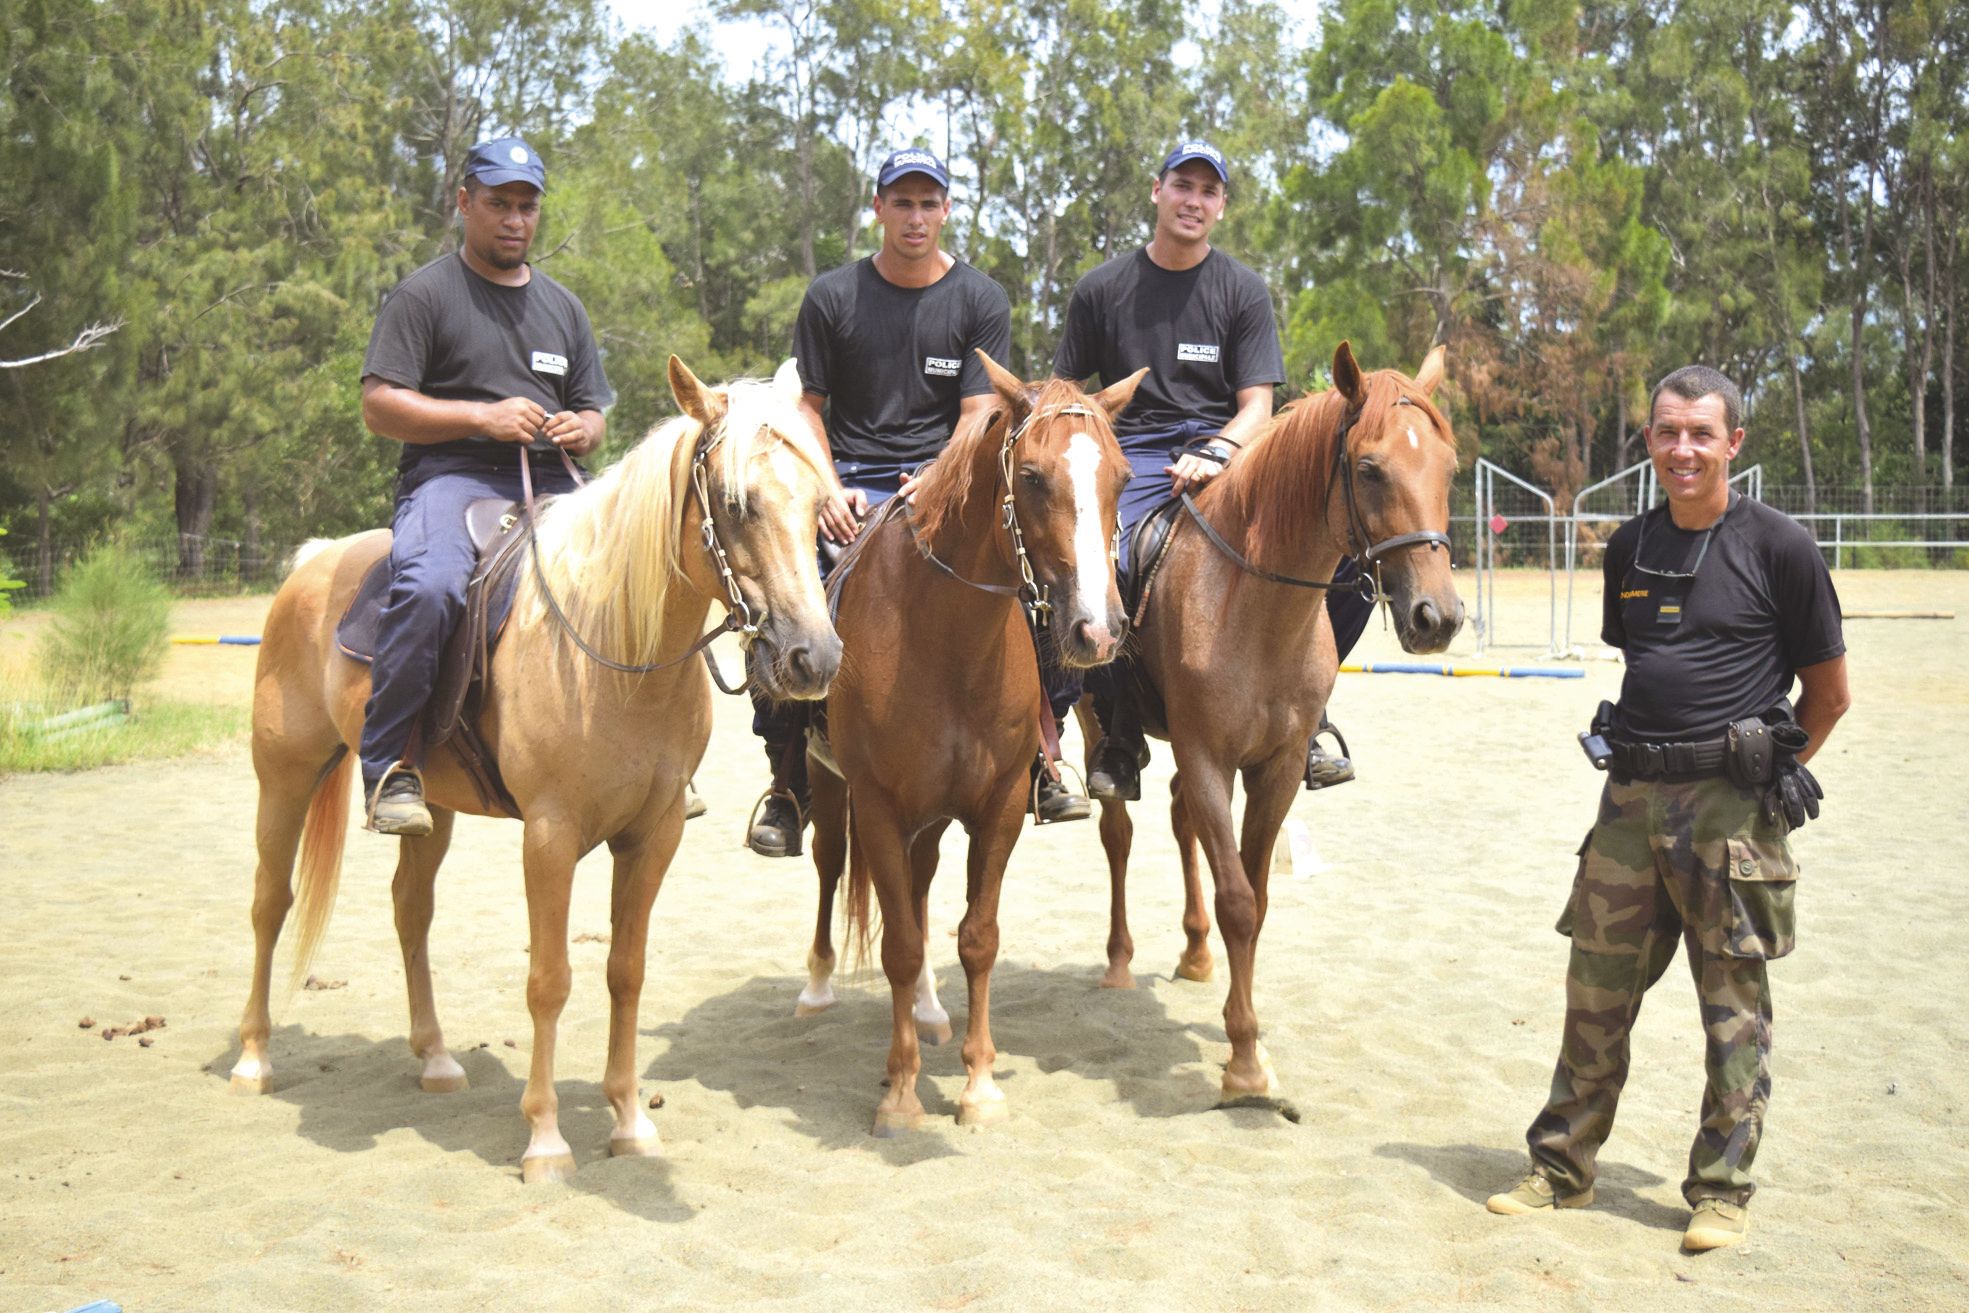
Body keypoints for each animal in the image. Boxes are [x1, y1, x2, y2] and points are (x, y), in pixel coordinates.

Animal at [232, 356, 846, 1181]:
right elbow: (550, 980)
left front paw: (628, 1120)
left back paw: (435, 1058)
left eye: (817, 503)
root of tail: (314, 560)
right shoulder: (549, 836)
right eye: (734, 503)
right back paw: (253, 1058)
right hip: (284, 775)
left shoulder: (653, 834)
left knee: (409, 909)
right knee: (271, 901)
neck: (612, 647)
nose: (814, 657)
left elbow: (625, 969)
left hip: (429, 807)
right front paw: (546, 1139)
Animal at [795, 354, 1142, 1133]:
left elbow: (974, 937)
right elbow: (895, 943)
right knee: (829, 864)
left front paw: (978, 1082)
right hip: (830, 785)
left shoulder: (999, 804)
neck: (943, 636)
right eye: (1033, 477)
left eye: (1121, 475)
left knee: (919, 886)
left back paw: (928, 1011)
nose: (1098, 630)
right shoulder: (878, 803)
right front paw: (899, 1092)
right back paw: (818, 986)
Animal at [1094, 342, 1464, 1102]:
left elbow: (1256, 897)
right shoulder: (1210, 757)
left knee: (1179, 820)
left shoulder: (1278, 766)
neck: (1255, 605)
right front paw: (1243, 1062)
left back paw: (1196, 952)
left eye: (1448, 468)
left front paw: (1245, 1033)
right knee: (1118, 833)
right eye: (1368, 468)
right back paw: (1119, 960)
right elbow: (1238, 898)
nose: (1437, 618)